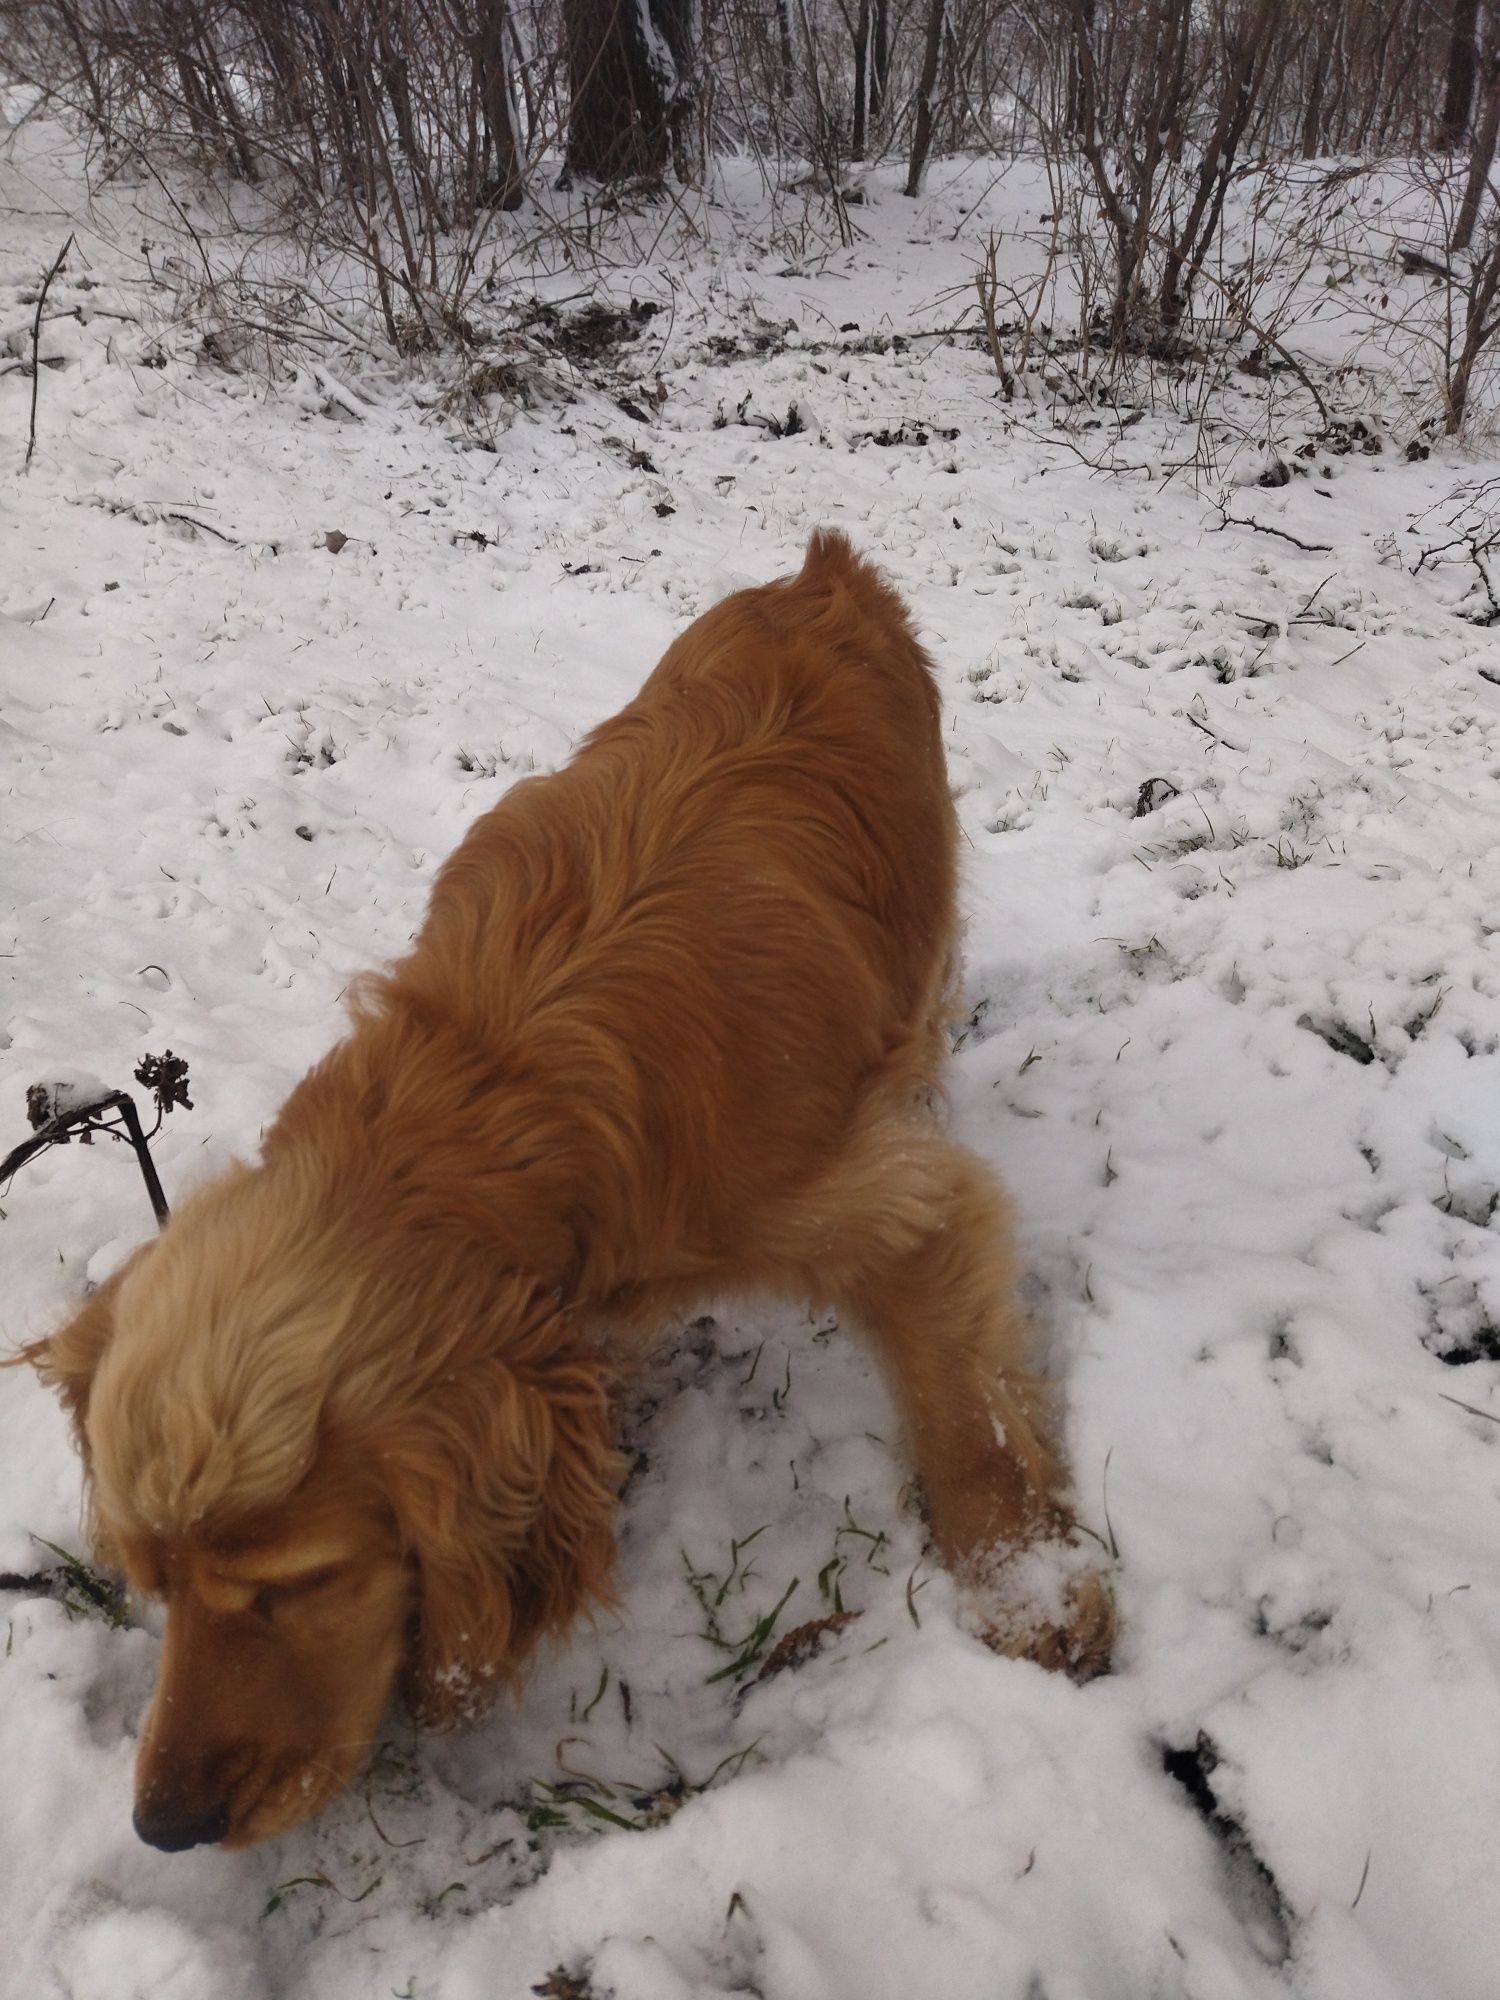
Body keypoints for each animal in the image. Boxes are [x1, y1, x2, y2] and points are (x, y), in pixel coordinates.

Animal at [17, 528, 1112, 1840]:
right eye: (153, 1579)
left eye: (295, 1582)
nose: (165, 1825)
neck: (487, 1102)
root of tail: (819, 571)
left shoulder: (896, 1210)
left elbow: (967, 1422)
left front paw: (1029, 1600)